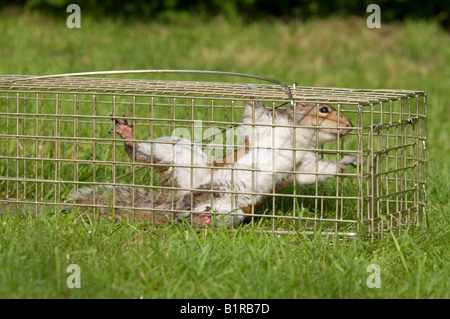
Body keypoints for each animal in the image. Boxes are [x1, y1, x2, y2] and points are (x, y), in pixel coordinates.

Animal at [69, 89, 358, 226]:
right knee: (141, 154)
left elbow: (313, 174)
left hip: (230, 210)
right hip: (180, 155)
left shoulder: (303, 163)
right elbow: (252, 116)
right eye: (324, 109)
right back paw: (129, 139)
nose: (350, 126)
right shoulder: (263, 127)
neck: (298, 138)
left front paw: (347, 162)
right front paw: (253, 93)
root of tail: (173, 202)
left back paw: (201, 219)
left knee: (191, 219)